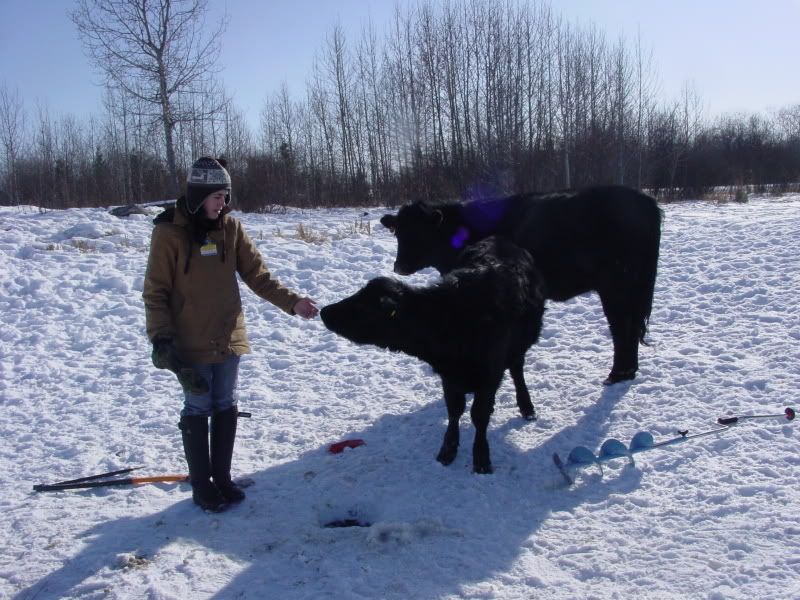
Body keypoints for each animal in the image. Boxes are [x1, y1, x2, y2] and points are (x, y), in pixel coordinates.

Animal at [320, 236, 546, 474]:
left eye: (363, 307)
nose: (324, 311)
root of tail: (500, 240)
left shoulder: (489, 375)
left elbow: (479, 415)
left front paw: (481, 457)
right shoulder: (449, 376)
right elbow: (455, 409)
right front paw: (448, 449)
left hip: (522, 343)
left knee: (517, 369)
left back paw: (527, 406)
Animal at [380, 185, 662, 385]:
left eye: (420, 233)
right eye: (399, 232)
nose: (399, 266)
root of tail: (644, 200)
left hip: (617, 285)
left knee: (622, 328)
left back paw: (617, 374)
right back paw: (627, 372)